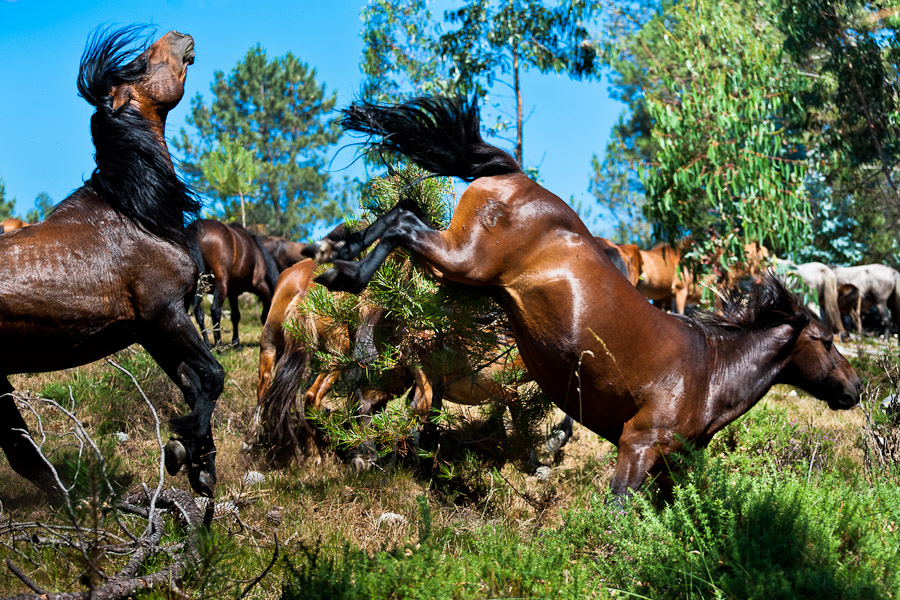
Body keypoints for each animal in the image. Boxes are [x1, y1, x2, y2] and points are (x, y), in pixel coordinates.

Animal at [0, 27, 223, 496]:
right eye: (141, 63)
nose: (180, 35)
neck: (132, 212)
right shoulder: (166, 315)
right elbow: (212, 377)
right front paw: (183, 446)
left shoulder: (152, 330)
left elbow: (192, 384)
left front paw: (198, 464)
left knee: (21, 451)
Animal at [306, 98, 860, 500]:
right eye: (827, 340)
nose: (856, 390)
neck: (710, 369)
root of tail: (511, 173)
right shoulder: (638, 446)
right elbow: (617, 512)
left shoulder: (670, 466)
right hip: (464, 261)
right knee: (403, 223)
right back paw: (344, 271)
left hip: (460, 277)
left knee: (403, 213)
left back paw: (344, 258)